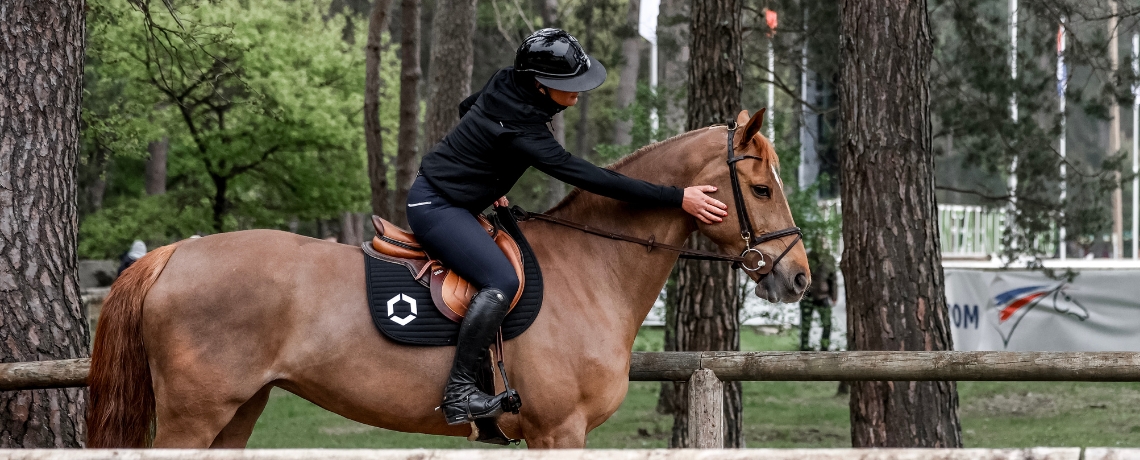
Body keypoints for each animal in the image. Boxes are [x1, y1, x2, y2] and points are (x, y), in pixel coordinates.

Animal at [86, 109, 810, 449]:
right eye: (761, 188)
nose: (799, 277)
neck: (590, 268)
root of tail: (173, 254)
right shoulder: (559, 431)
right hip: (193, 415)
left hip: (239, 411)